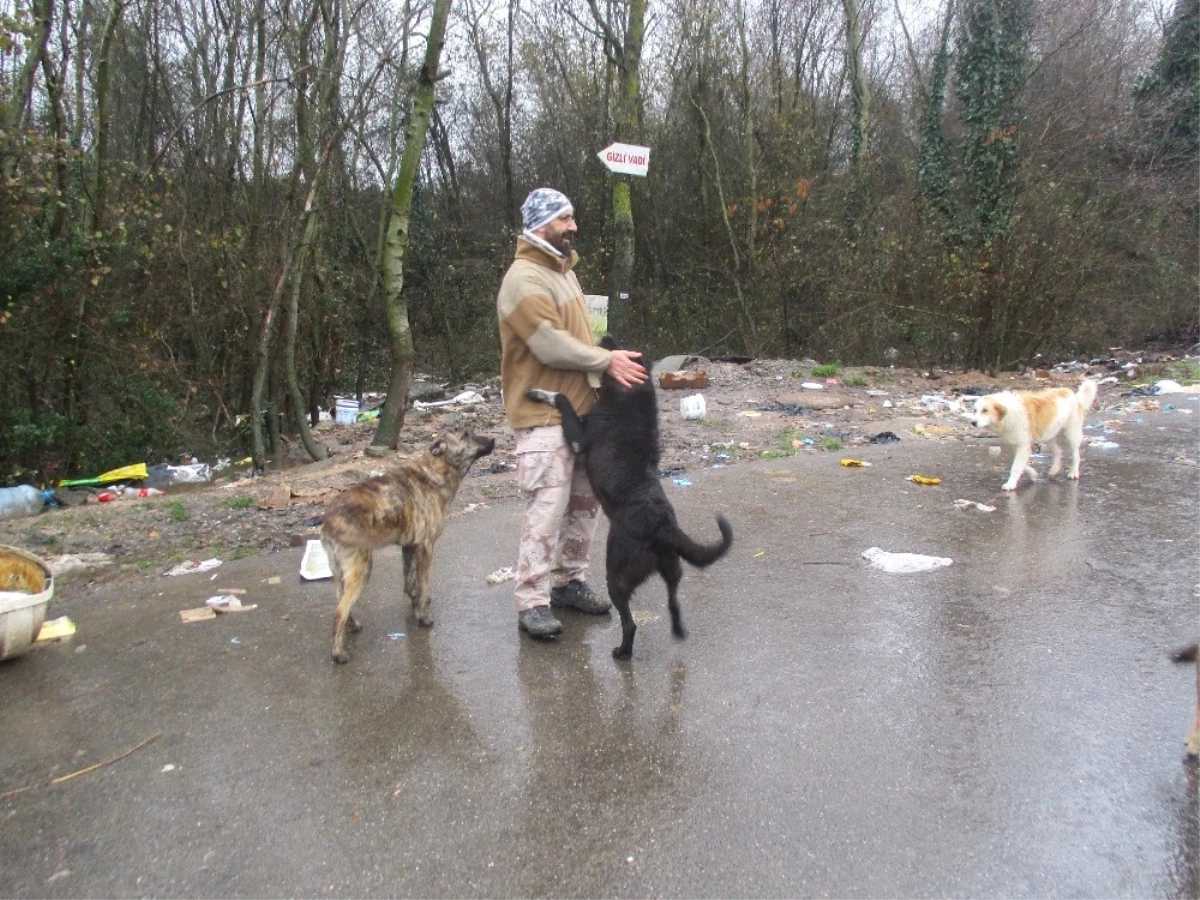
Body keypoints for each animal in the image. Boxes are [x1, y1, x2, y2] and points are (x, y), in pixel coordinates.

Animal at [321, 427, 494, 667]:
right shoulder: (426, 547)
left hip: (340, 572)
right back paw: (338, 653)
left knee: (341, 604)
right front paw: (423, 617)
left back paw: (352, 625)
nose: (494, 439)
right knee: (339, 612)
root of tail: (329, 522)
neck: (434, 472)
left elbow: (410, 582)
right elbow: (423, 584)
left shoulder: (410, 547)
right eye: (466, 435)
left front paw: (415, 603)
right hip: (361, 569)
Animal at [969, 381, 1099, 494]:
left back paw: (1074, 472)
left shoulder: (1022, 445)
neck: (1008, 412)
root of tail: (1071, 393)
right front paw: (1033, 474)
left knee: (1075, 454)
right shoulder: (1017, 445)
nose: (973, 423)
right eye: (975, 410)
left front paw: (1011, 484)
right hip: (1048, 435)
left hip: (1071, 433)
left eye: (985, 410)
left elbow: (1016, 466)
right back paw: (1054, 469)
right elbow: (1021, 464)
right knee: (1058, 451)